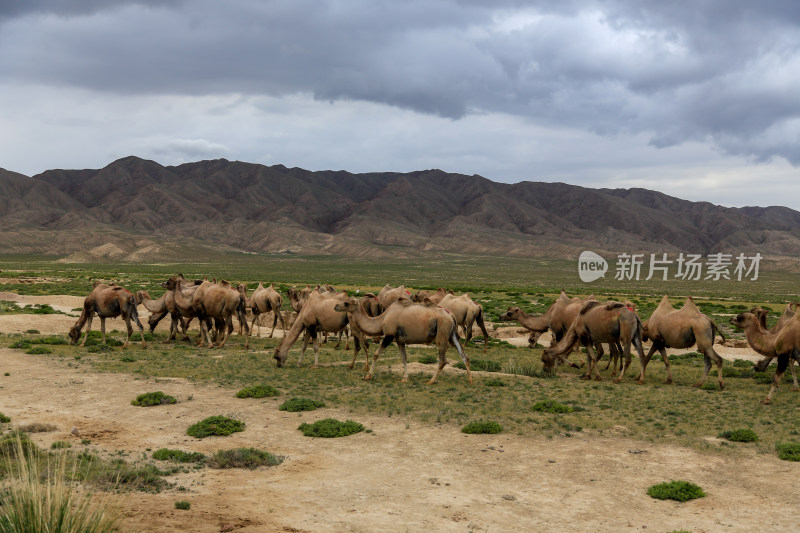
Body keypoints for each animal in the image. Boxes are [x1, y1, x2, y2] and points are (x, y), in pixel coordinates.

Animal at [332, 296, 472, 382]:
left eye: (346, 303)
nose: (335, 306)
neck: (382, 319)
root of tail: (451, 315)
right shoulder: (400, 340)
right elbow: (404, 358)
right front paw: (405, 378)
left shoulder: (389, 336)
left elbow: (376, 354)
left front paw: (368, 375)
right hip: (452, 334)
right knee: (464, 355)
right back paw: (469, 380)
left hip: (442, 332)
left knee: (443, 360)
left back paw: (431, 381)